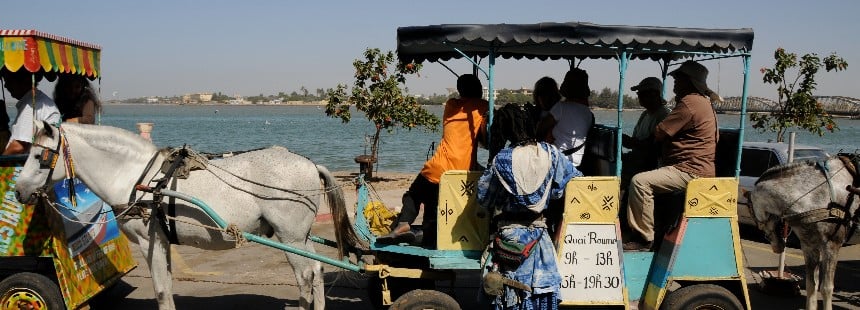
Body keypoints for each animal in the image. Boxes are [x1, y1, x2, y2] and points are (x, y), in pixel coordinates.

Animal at [14, 121, 362, 310]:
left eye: (39, 156)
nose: (18, 191)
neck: (138, 178)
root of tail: (309, 163)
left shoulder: (149, 241)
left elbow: (160, 290)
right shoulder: (162, 241)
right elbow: (166, 286)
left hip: (289, 237)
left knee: (306, 277)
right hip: (301, 238)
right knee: (318, 272)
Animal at [744, 154, 860, 310]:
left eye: (754, 215)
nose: (776, 248)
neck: (815, 196)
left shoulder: (832, 245)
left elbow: (826, 288)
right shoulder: (809, 246)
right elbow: (811, 286)